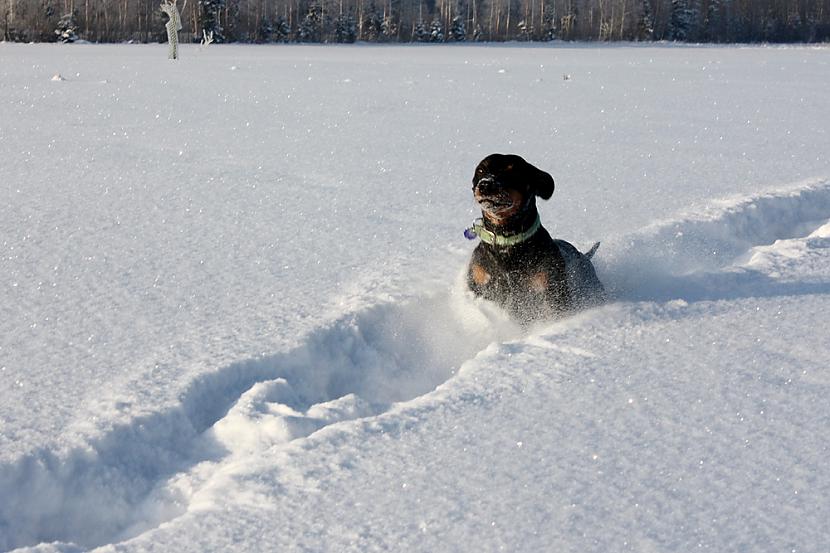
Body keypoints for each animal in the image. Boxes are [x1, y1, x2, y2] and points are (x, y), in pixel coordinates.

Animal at [464, 153, 608, 322]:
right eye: (480, 170)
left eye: (512, 171)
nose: (485, 184)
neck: (506, 243)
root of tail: (585, 256)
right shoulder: (479, 284)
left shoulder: (550, 293)